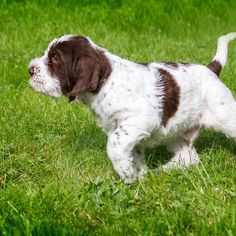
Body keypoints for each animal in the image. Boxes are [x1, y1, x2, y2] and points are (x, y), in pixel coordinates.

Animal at [29, 33, 236, 183]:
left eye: (55, 59)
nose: (30, 70)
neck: (106, 82)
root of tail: (210, 69)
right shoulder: (124, 130)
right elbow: (134, 153)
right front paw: (139, 176)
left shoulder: (139, 121)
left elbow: (113, 145)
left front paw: (126, 173)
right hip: (176, 131)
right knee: (188, 157)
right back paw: (161, 171)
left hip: (225, 116)